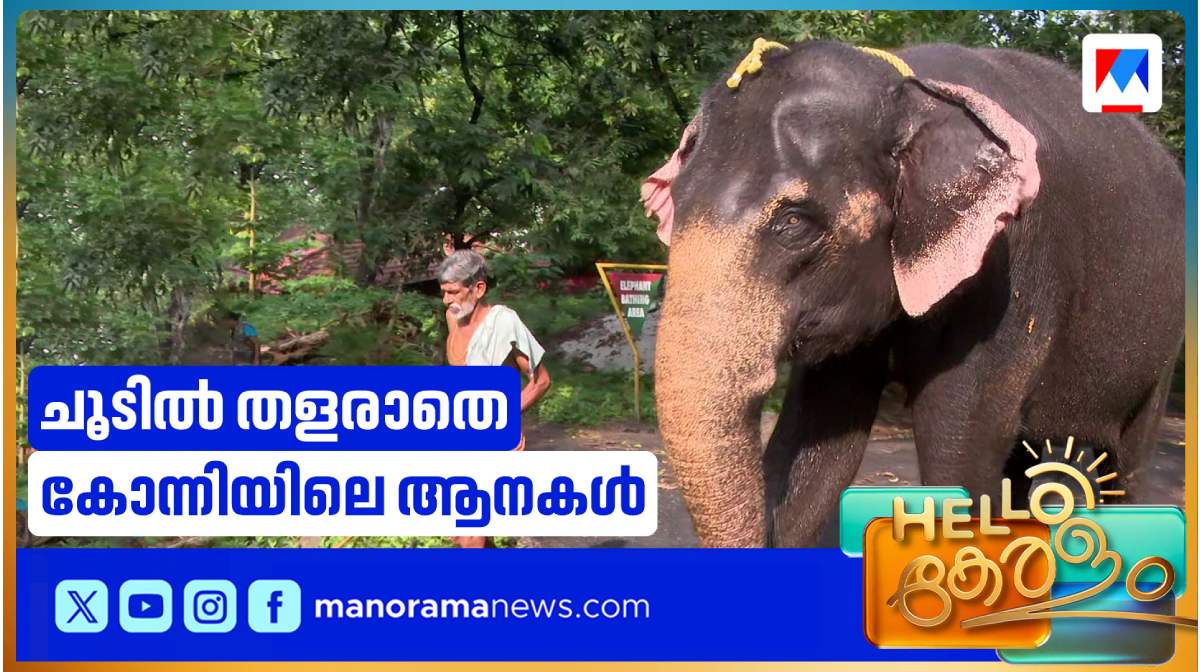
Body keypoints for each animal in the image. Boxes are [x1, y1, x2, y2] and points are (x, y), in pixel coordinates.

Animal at [641, 41, 1184, 547]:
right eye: (676, 204)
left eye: (794, 222)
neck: (917, 93)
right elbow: (819, 442)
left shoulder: (1012, 273)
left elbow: (956, 448)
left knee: (1125, 464)